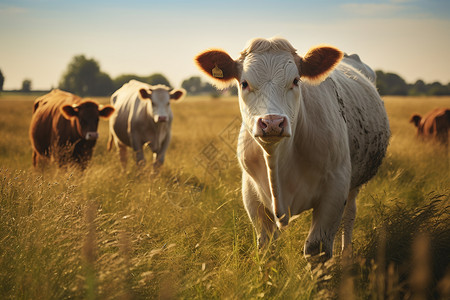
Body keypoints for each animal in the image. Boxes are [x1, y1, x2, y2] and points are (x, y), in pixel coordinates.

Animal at [195, 37, 388, 258]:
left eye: (296, 81)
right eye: (244, 83)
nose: (272, 122)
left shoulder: (335, 188)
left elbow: (317, 247)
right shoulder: (251, 193)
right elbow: (266, 245)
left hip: (354, 184)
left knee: (349, 215)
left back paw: (346, 255)